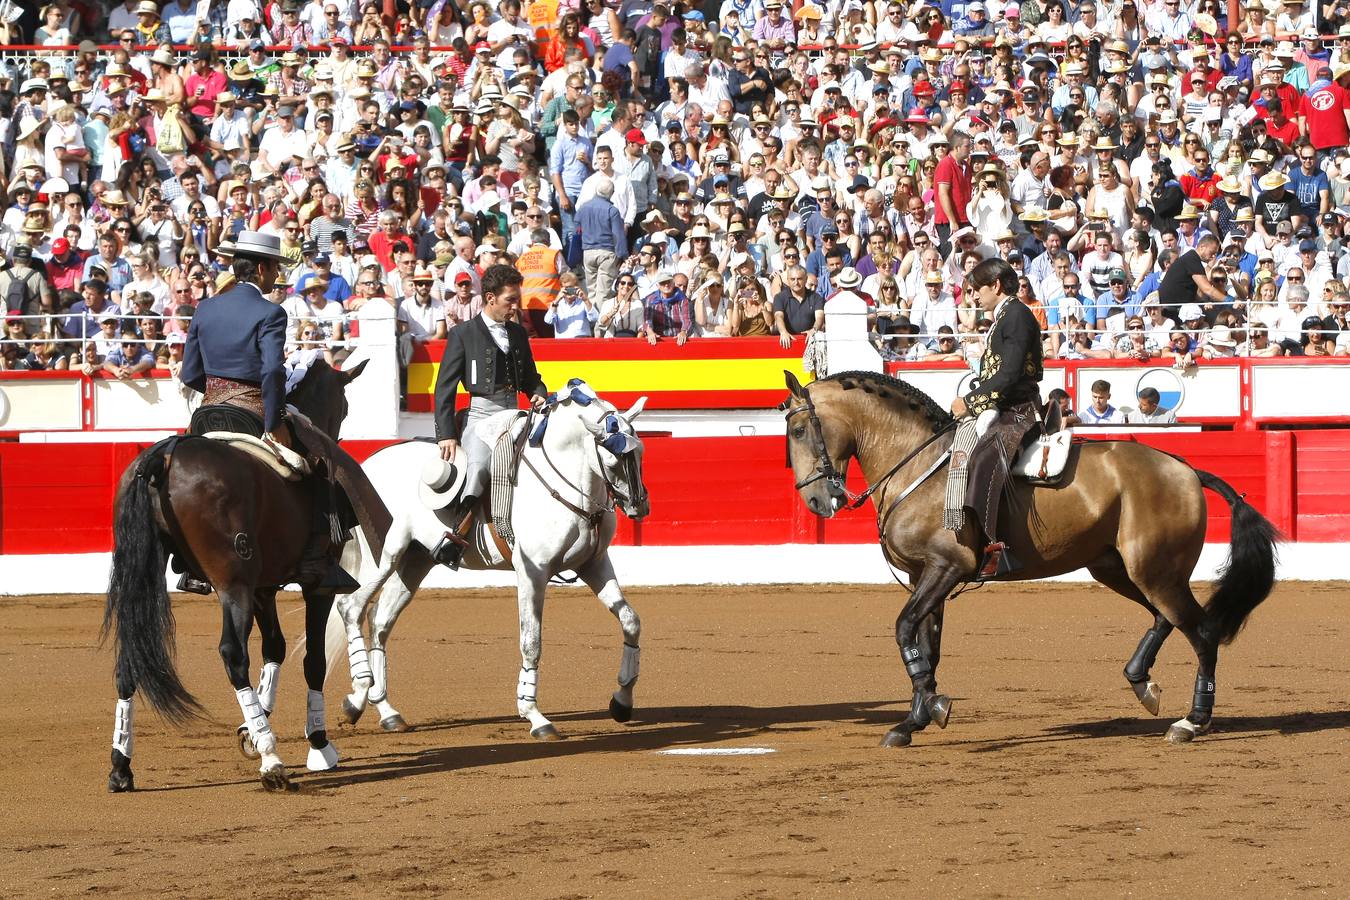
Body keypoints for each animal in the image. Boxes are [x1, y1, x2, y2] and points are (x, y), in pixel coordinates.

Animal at [101, 356, 380, 788]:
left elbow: (275, 647)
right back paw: (272, 763)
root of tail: (164, 455)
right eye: (345, 407)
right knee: (233, 654)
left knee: (129, 653)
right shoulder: (317, 585)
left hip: (144, 574)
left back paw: (121, 766)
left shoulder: (262, 587)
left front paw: (253, 726)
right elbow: (312, 659)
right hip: (232, 583)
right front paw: (317, 744)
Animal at [324, 391, 645, 744]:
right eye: (613, 459)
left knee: (380, 621)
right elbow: (531, 642)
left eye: (640, 452)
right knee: (351, 607)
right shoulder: (533, 572)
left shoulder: (594, 564)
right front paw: (535, 717)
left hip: (414, 562)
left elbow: (631, 620)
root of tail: (367, 465)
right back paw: (359, 694)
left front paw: (622, 702)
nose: (640, 506)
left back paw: (382, 710)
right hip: (384, 556)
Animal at [783, 369, 1274, 750]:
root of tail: (1186, 469)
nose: (816, 500)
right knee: (1166, 618)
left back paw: (1192, 720)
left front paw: (927, 709)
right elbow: (926, 645)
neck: (919, 465)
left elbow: (905, 629)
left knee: (1202, 631)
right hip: (1120, 569)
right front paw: (916, 717)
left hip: (1155, 572)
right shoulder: (927, 574)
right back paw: (1142, 683)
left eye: (798, 430)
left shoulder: (947, 568)